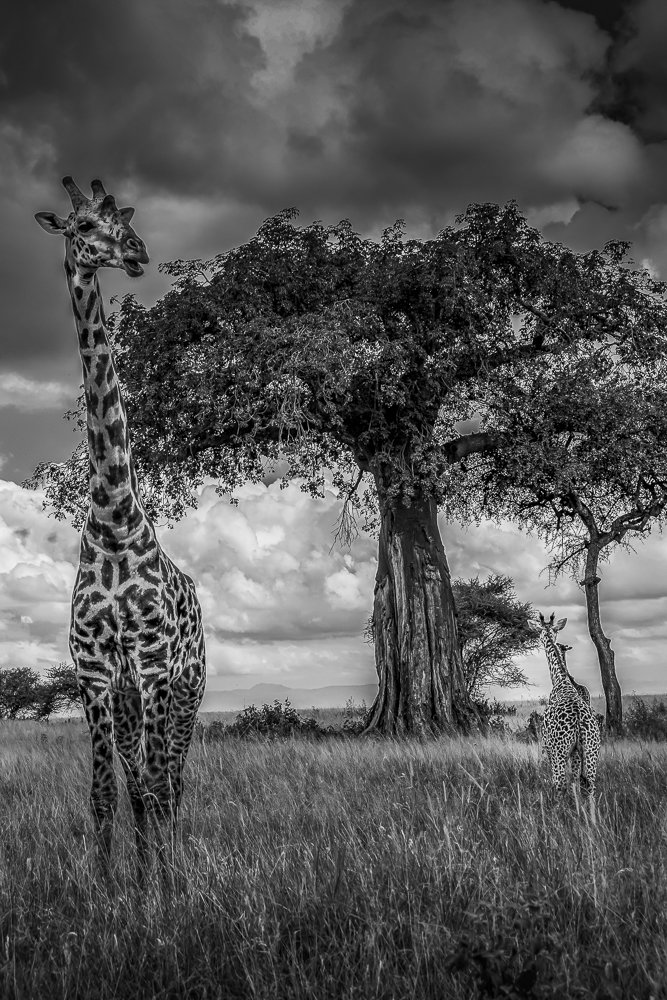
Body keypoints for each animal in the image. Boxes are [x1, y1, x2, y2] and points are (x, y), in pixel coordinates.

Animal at [536, 613, 600, 817]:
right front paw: (578, 806)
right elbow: (577, 779)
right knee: (589, 784)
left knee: (560, 784)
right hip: (591, 749)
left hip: (559, 751)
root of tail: (579, 721)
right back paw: (590, 819)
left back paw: (557, 816)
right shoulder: (578, 752)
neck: (561, 680)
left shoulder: (548, 746)